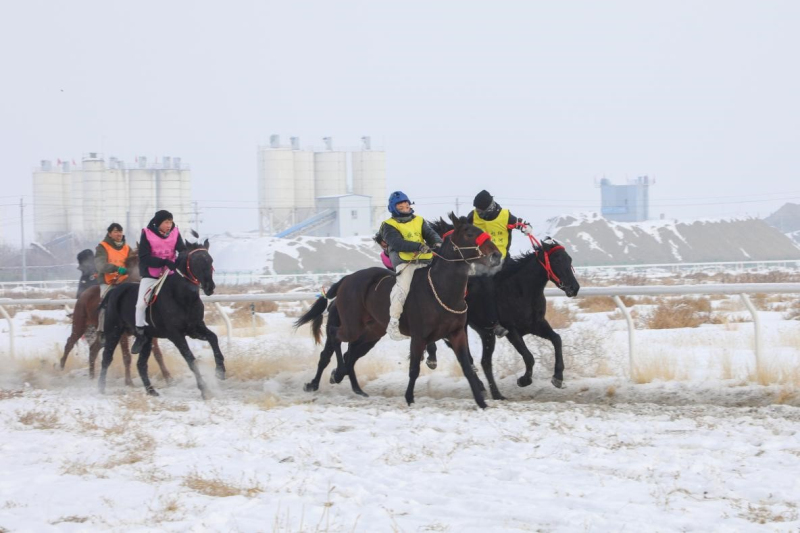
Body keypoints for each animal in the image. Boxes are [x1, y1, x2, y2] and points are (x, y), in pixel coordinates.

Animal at [101, 238, 225, 400]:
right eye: (195, 261)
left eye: (210, 260)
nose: (210, 287)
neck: (182, 297)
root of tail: (114, 290)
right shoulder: (176, 335)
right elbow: (190, 358)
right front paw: (204, 389)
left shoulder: (195, 328)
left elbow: (213, 338)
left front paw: (220, 370)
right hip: (114, 331)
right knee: (106, 357)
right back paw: (100, 388)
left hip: (147, 339)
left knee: (141, 364)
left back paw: (151, 391)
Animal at [296, 212, 504, 408]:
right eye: (469, 233)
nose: (496, 255)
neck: (441, 290)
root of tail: (345, 280)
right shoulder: (419, 337)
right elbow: (414, 369)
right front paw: (409, 397)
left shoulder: (457, 333)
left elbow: (467, 367)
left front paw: (481, 401)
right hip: (352, 326)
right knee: (334, 337)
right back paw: (332, 375)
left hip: (372, 332)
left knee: (349, 353)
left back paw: (351, 385)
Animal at [424, 217, 580, 400]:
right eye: (556, 260)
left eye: (569, 260)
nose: (574, 288)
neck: (521, 289)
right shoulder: (511, 330)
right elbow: (529, 356)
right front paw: (524, 380)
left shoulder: (537, 324)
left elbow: (557, 339)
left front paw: (558, 377)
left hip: (485, 333)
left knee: (482, 361)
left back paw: (492, 391)